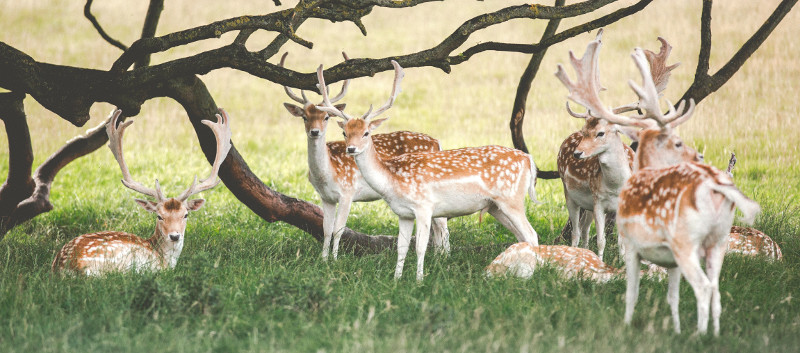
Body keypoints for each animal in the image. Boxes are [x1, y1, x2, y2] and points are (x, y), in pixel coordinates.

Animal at [280, 51, 450, 258]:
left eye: (326, 117)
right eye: (304, 117)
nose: (314, 132)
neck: (327, 173)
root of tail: (437, 142)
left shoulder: (347, 192)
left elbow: (338, 229)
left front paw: (335, 260)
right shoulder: (326, 197)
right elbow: (326, 229)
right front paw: (323, 259)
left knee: (442, 224)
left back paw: (444, 257)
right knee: (437, 223)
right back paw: (438, 256)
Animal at [316, 59, 540, 280]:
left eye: (366, 133)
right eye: (345, 132)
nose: (351, 149)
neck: (392, 179)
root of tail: (528, 159)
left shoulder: (424, 206)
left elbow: (420, 247)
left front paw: (419, 279)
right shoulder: (403, 213)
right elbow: (402, 247)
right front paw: (396, 279)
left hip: (511, 199)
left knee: (532, 234)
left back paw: (534, 274)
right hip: (495, 206)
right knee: (521, 236)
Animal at [552, 34, 760, 334]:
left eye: (601, 132)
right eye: (585, 132)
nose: (579, 153)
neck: (614, 185)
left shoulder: (615, 207)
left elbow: (619, 242)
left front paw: (617, 262)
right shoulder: (599, 200)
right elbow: (604, 239)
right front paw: (602, 262)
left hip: (587, 206)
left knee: (585, 229)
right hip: (570, 194)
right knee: (578, 232)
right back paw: (578, 249)